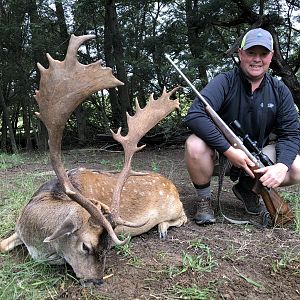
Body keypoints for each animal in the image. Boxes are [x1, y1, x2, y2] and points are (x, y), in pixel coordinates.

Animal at [0, 34, 186, 286]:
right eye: (85, 246)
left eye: (107, 247)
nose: (97, 280)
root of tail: (172, 185)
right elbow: (2, 245)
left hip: (174, 206)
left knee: (184, 216)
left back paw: (163, 228)